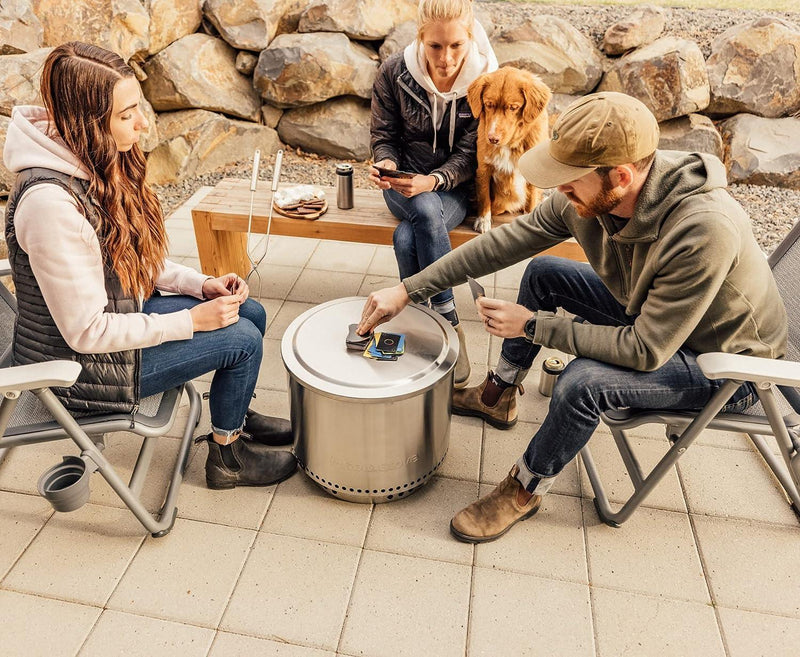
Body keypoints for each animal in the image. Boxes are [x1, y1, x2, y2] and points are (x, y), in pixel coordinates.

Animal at [468, 68, 552, 232]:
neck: (512, 144)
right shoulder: (483, 168)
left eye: (513, 107)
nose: (492, 139)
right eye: (488, 104)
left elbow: (531, 200)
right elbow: (484, 196)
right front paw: (483, 220)